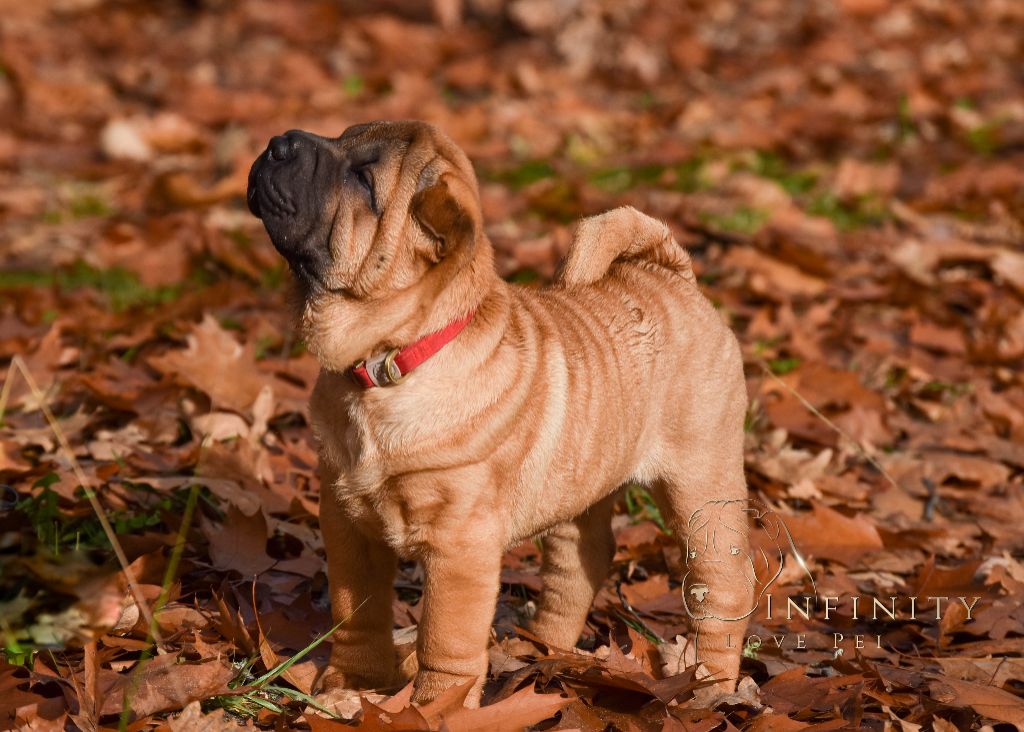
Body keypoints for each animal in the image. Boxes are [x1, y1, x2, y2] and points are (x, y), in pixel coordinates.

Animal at [243, 121, 749, 708]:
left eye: (365, 182)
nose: (280, 140)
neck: (393, 359)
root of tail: (674, 275)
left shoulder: (459, 544)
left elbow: (445, 640)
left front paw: (433, 708)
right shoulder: (349, 522)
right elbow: (356, 613)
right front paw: (353, 686)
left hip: (702, 487)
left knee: (721, 589)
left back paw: (712, 689)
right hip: (579, 486)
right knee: (579, 563)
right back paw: (540, 650)